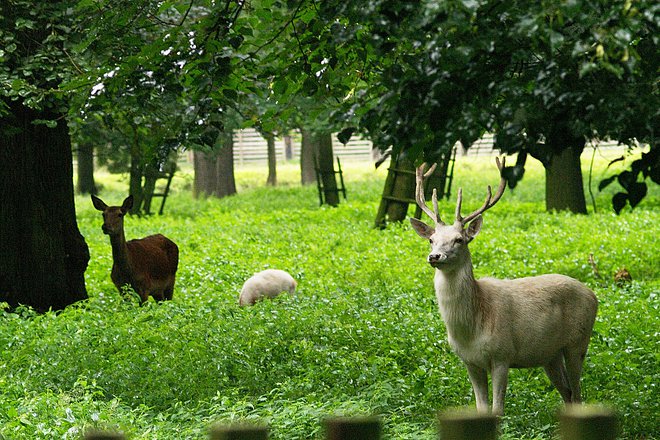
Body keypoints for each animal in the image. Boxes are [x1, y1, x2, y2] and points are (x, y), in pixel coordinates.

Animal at [410, 159, 596, 416]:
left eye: (459, 239)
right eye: (431, 239)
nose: (435, 256)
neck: (471, 330)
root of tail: (594, 295)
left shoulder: (502, 354)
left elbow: (497, 410)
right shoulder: (469, 362)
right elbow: (481, 409)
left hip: (578, 342)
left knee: (578, 394)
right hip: (550, 355)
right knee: (567, 393)